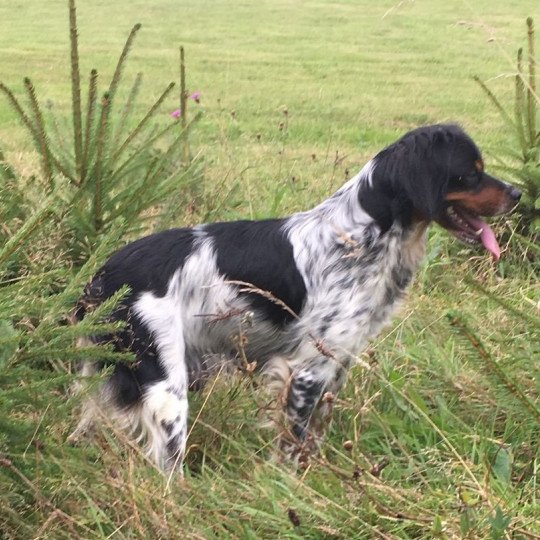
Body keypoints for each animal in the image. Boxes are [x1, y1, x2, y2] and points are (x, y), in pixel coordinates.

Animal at [67, 122, 520, 472]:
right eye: (471, 173)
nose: (518, 194)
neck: (362, 236)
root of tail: (103, 275)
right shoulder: (306, 371)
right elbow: (294, 445)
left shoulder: (337, 364)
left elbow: (315, 438)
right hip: (166, 385)